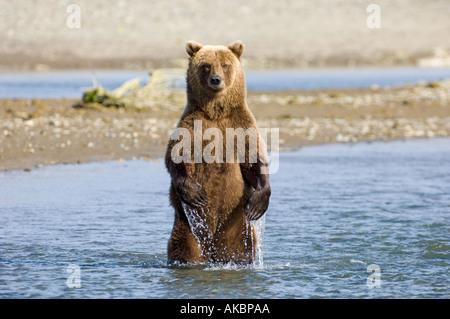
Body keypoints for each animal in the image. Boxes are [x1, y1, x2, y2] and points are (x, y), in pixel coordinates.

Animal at [165, 40, 270, 264]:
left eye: (224, 64)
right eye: (206, 65)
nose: (216, 79)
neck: (215, 113)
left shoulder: (241, 126)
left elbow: (253, 159)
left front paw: (259, 202)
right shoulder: (192, 126)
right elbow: (176, 157)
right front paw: (194, 193)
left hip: (238, 230)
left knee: (240, 251)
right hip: (188, 228)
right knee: (185, 249)